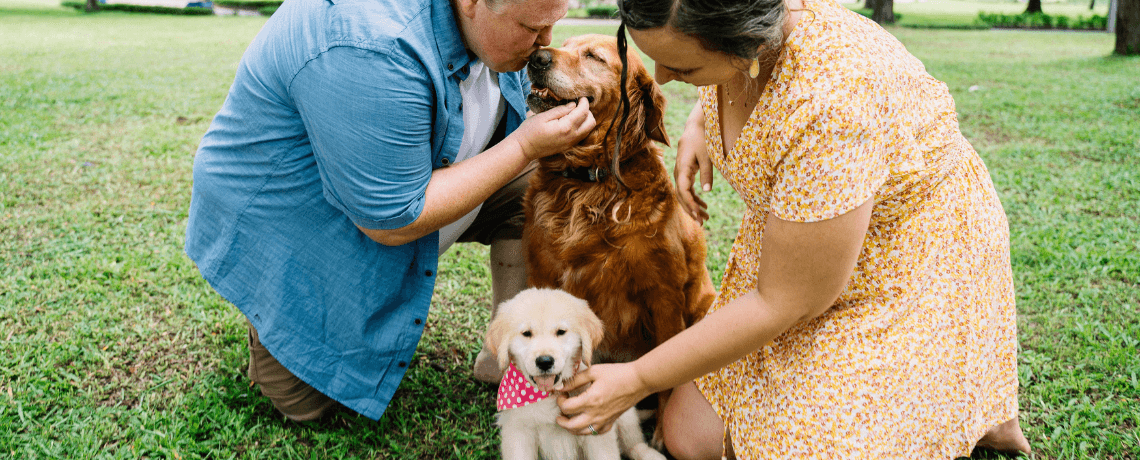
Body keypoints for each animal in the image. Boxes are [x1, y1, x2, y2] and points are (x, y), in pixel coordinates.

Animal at [483, 289, 665, 459]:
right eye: (526, 333)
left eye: (561, 331)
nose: (545, 361)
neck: (549, 394)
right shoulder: (518, 432)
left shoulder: (596, 430)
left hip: (621, 409)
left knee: (633, 443)